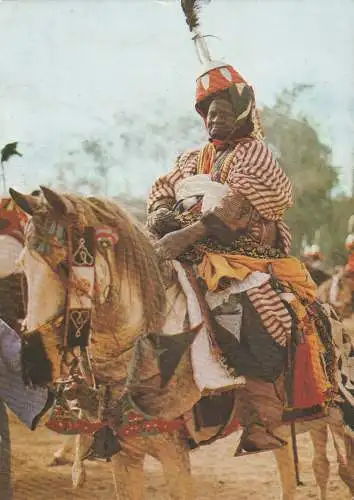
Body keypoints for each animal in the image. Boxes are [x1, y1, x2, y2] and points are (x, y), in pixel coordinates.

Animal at [10, 188, 354, 500]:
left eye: (64, 264)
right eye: (23, 265)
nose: (33, 361)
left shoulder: (172, 449)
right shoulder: (125, 453)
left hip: (338, 415)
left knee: (338, 468)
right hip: (285, 421)